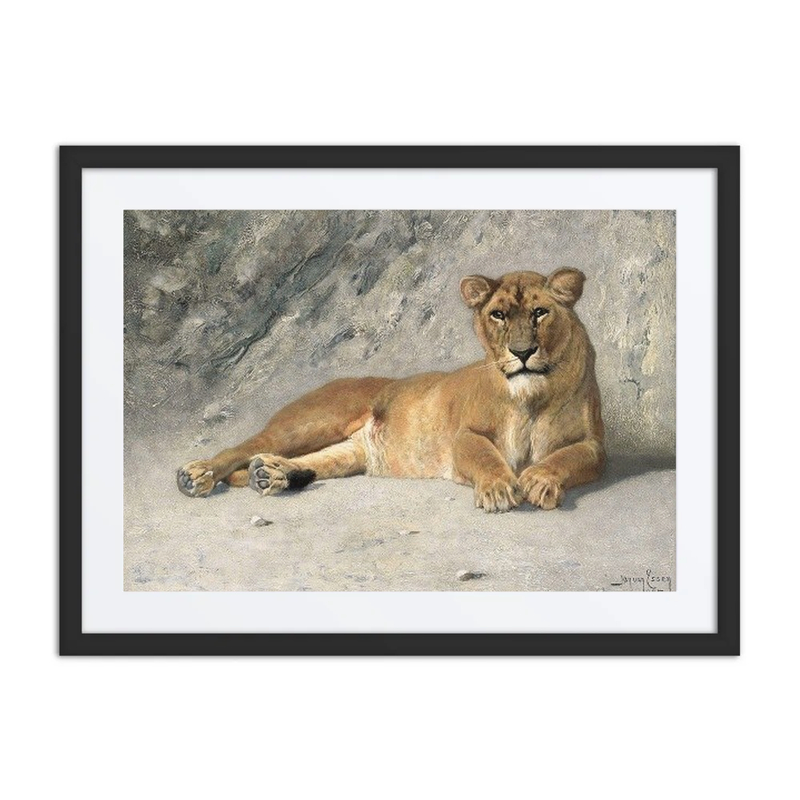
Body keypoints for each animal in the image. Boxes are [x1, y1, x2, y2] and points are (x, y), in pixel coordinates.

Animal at [177, 268, 605, 512]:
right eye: (498, 314)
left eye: (540, 313)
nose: (522, 352)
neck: (531, 396)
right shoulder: (465, 435)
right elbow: (485, 455)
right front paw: (500, 489)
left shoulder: (595, 446)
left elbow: (567, 457)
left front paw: (541, 479)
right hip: (310, 423)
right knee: (245, 448)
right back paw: (197, 475)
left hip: (350, 453)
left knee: (311, 461)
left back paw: (271, 475)